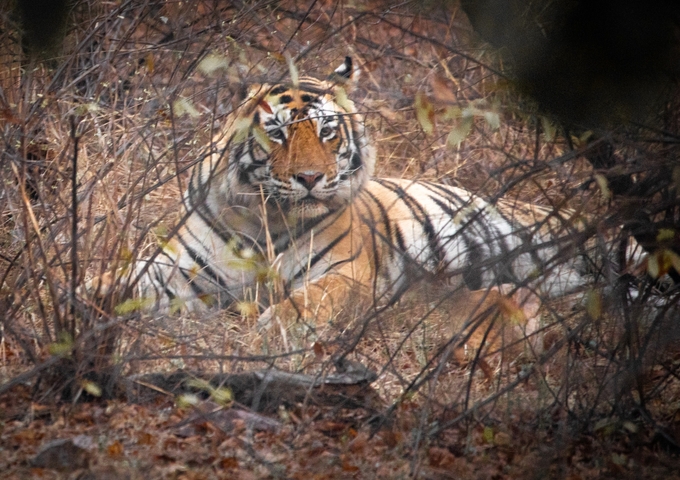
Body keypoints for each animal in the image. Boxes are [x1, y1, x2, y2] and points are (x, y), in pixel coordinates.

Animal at [90, 57, 589, 330]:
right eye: (277, 134)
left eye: (327, 131)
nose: (310, 178)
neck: (264, 216)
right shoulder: (182, 271)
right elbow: (124, 279)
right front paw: (85, 295)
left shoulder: (346, 272)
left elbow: (309, 301)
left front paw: (275, 329)